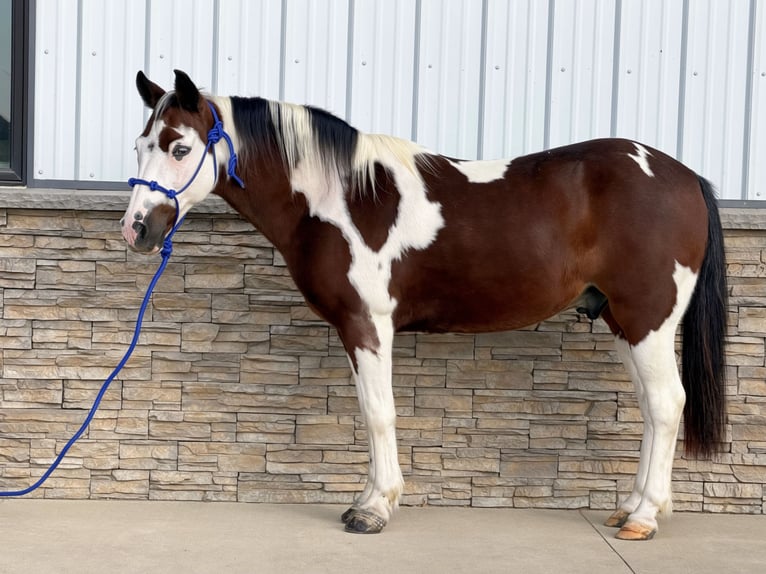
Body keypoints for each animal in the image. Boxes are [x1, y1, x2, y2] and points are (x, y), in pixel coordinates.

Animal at [123, 70, 727, 540]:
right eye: (140, 145)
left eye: (179, 148)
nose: (136, 230)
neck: (340, 198)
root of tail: (684, 175)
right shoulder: (356, 329)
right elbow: (370, 412)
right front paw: (371, 499)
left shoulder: (367, 324)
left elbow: (378, 412)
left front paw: (373, 509)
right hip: (622, 320)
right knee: (651, 407)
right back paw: (631, 507)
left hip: (649, 319)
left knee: (667, 403)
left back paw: (644, 518)